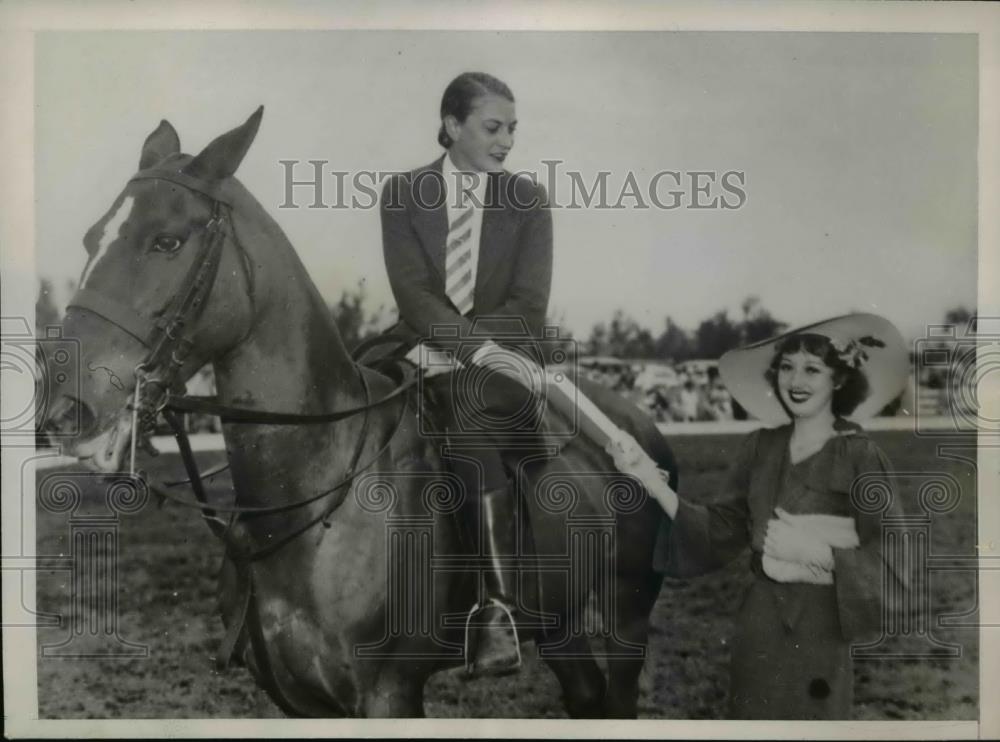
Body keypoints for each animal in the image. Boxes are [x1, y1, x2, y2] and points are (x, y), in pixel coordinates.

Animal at [45, 110, 680, 720]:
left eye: (167, 241)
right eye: (90, 238)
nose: (66, 411)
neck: (312, 503)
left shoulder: (388, 694)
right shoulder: (298, 699)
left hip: (626, 617)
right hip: (560, 622)